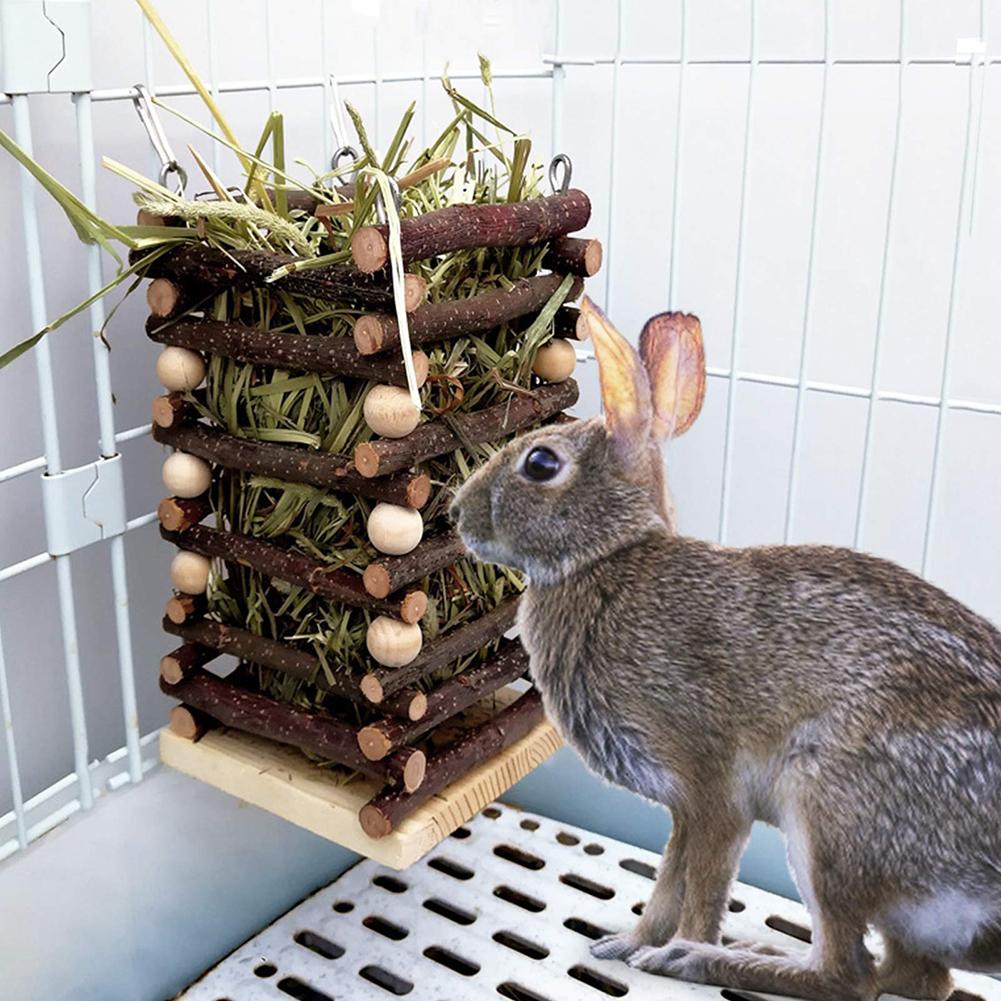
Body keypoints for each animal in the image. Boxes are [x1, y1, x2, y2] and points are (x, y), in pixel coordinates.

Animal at [449, 297, 1001, 1001]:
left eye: (541, 464)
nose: (458, 514)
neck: (608, 560)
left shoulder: (713, 793)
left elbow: (701, 887)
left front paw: (666, 952)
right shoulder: (683, 810)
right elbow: (666, 882)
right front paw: (624, 943)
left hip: (827, 814)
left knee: (848, 974)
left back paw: (707, 961)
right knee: (915, 978)